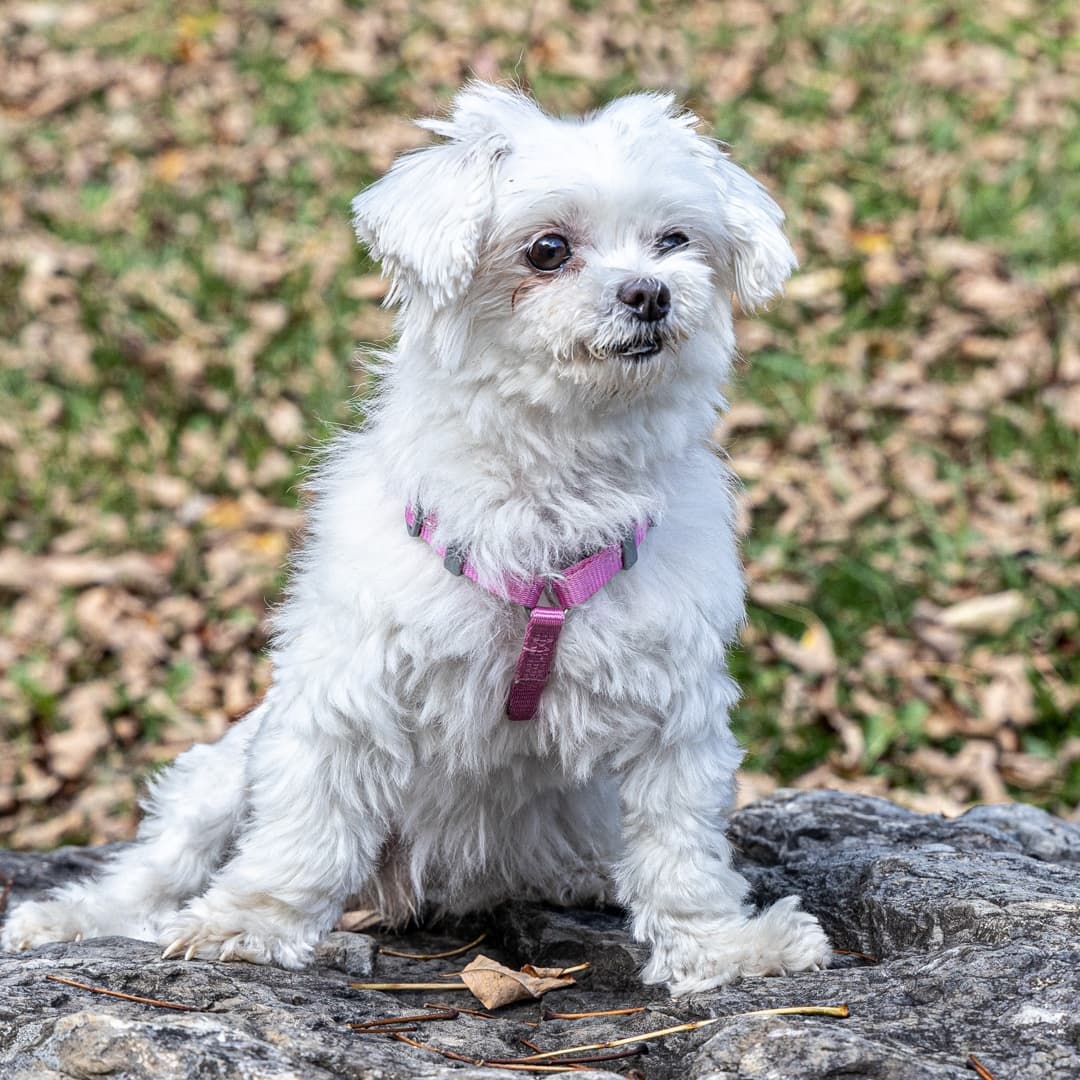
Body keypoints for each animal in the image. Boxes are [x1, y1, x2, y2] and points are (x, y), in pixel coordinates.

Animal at [0, 84, 829, 993]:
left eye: (675, 240)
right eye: (548, 249)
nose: (650, 293)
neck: (554, 480)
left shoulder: (670, 706)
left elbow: (681, 849)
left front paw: (723, 948)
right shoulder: (350, 688)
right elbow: (302, 830)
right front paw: (250, 924)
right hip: (223, 774)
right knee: (158, 868)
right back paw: (72, 920)